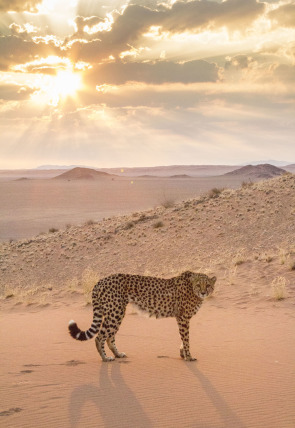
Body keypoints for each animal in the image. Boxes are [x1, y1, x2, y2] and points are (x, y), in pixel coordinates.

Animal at [69, 270, 217, 362]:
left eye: (208, 285)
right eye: (198, 285)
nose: (203, 292)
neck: (192, 289)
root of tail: (101, 281)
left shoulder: (183, 318)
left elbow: (183, 338)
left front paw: (183, 354)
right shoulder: (183, 317)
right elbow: (186, 339)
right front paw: (189, 356)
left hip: (117, 313)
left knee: (110, 337)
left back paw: (118, 354)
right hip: (115, 312)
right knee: (100, 337)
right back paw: (106, 358)